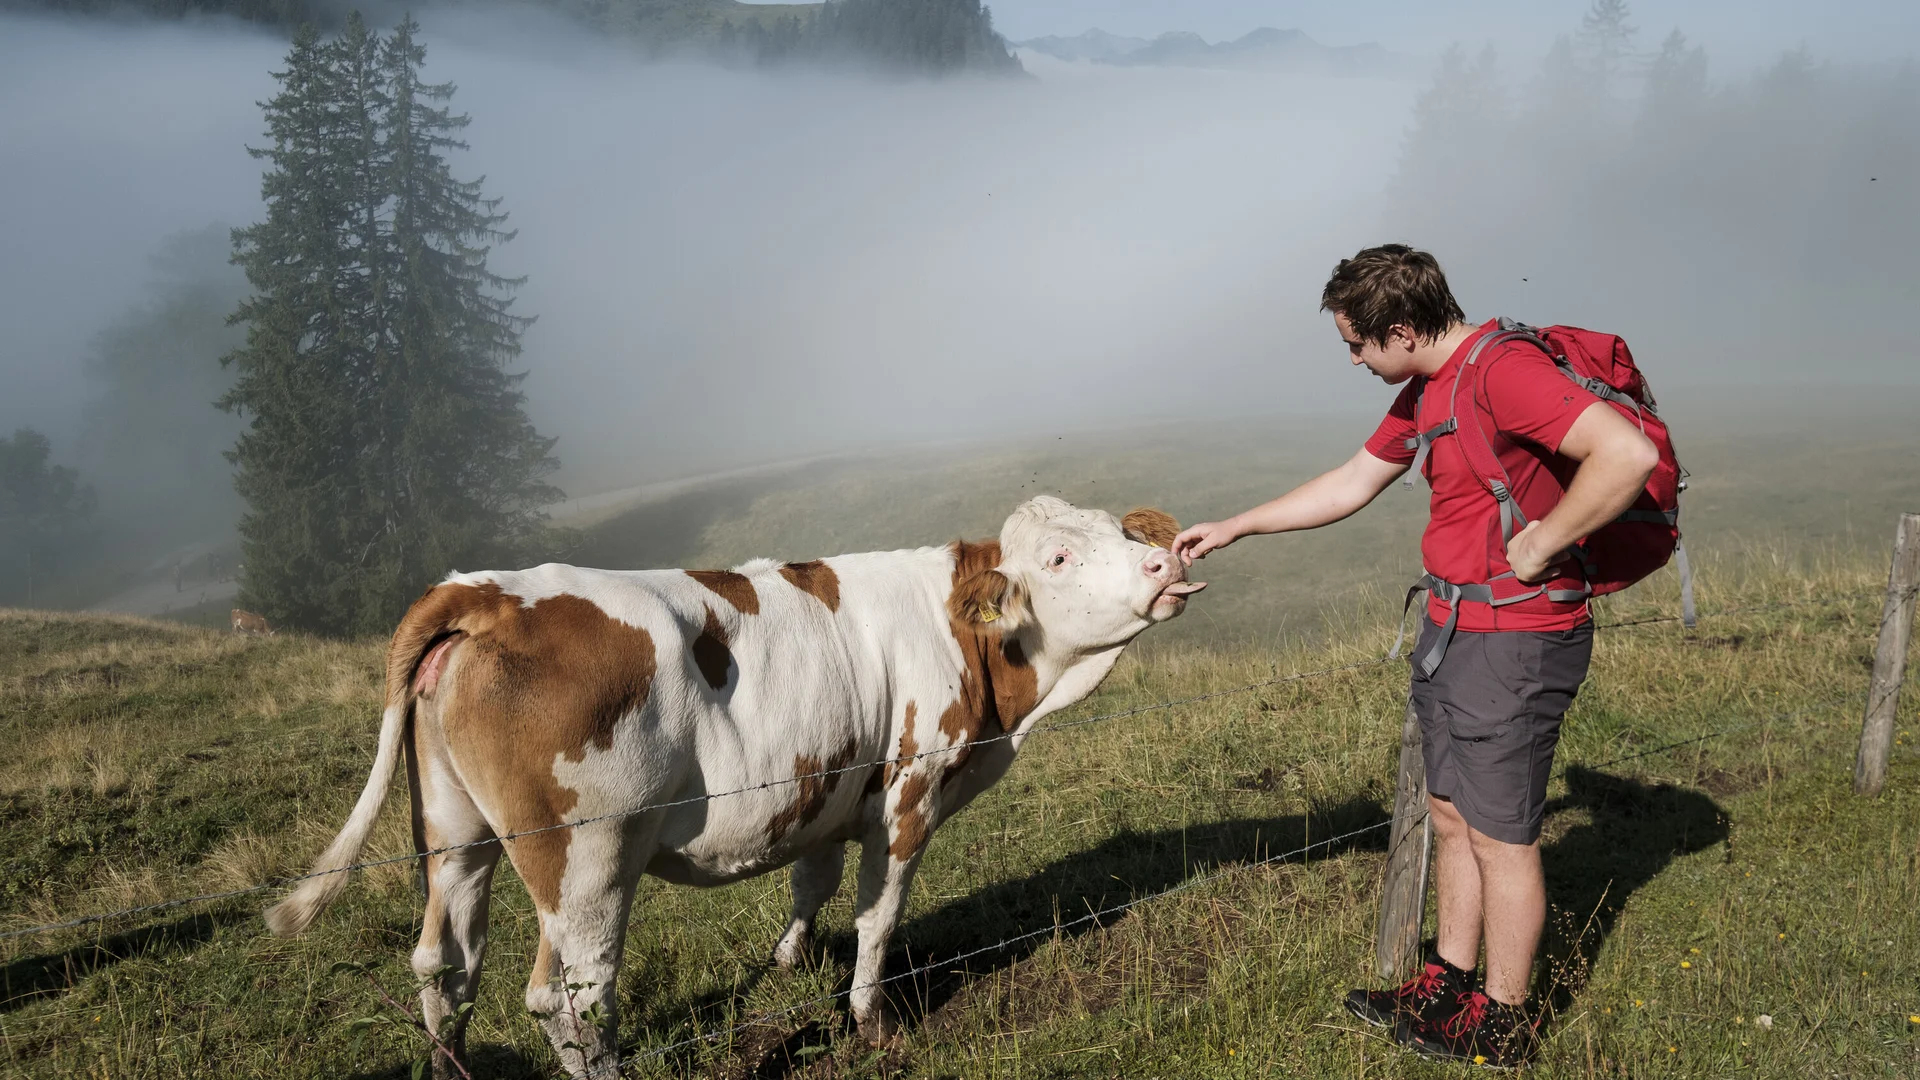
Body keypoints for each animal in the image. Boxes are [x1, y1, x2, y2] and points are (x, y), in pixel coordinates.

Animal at [263, 496, 1204, 1078]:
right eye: (1060, 555)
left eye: (1122, 534)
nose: (1164, 565)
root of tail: (486, 592)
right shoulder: (910, 792)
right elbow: (878, 916)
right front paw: (871, 1022)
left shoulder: (830, 785)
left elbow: (812, 881)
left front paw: (788, 961)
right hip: (588, 859)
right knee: (569, 994)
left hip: (457, 834)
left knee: (444, 965)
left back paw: (448, 1065)